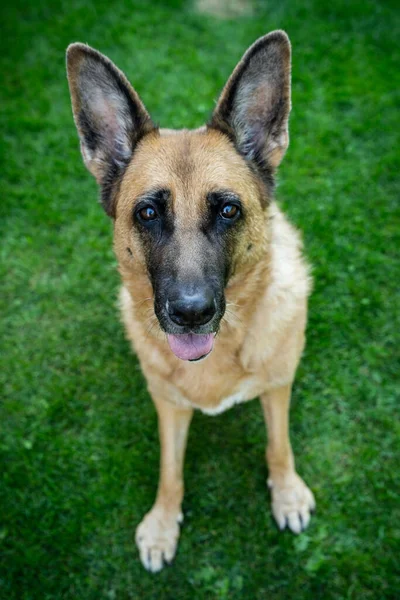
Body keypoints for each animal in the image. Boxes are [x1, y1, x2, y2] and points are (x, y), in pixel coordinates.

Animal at [66, 30, 316, 576]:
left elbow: (279, 445)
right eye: (147, 212)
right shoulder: (168, 405)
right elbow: (169, 471)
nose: (191, 313)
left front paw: (287, 493)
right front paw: (163, 524)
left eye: (228, 210)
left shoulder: (277, 385)